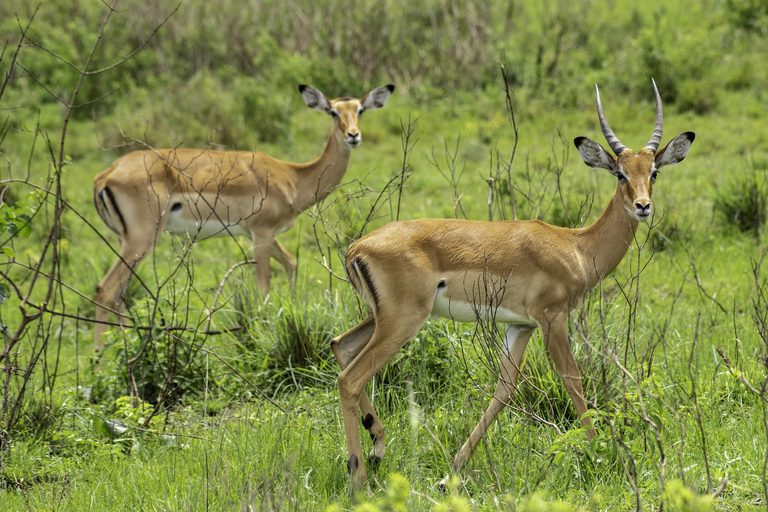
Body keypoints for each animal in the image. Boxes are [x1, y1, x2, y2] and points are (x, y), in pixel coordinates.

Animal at [93, 84, 394, 350]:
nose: (353, 135)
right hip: (141, 240)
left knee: (119, 294)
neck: (293, 177)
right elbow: (264, 285)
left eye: (360, 110)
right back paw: (99, 357)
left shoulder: (259, 233)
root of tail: (106, 175)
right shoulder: (262, 233)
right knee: (105, 289)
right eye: (332, 111)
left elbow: (291, 264)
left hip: (127, 243)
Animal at [331, 80, 694, 489]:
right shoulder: (552, 319)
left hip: (381, 318)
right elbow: (573, 379)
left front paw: (452, 471)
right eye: (619, 173)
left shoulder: (520, 326)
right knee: (349, 378)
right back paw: (358, 476)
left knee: (340, 345)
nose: (643, 206)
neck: (577, 247)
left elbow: (504, 390)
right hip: (403, 321)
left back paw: (377, 448)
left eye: (654, 172)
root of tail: (356, 248)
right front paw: (599, 452)